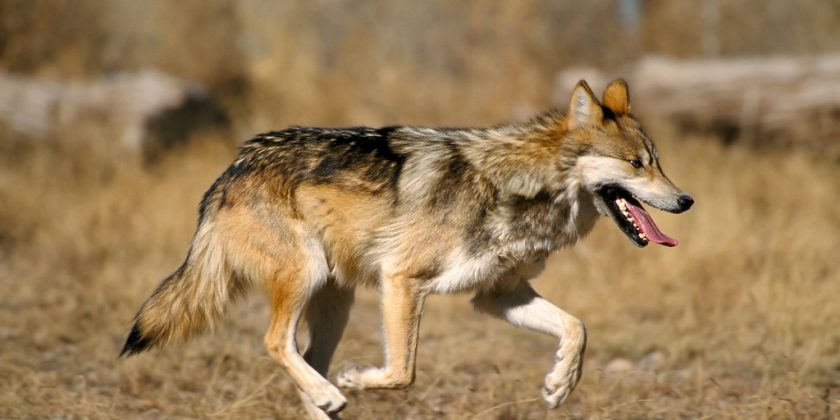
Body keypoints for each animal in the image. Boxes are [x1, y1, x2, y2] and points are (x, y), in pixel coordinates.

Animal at [121, 79, 693, 418]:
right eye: (637, 164)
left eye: (658, 162)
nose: (686, 200)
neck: (520, 186)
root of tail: (231, 168)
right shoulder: (403, 280)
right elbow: (402, 372)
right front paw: (359, 377)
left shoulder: (497, 295)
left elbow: (577, 328)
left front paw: (559, 385)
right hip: (307, 277)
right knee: (276, 344)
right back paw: (332, 390)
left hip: (336, 300)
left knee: (305, 360)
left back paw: (325, 397)